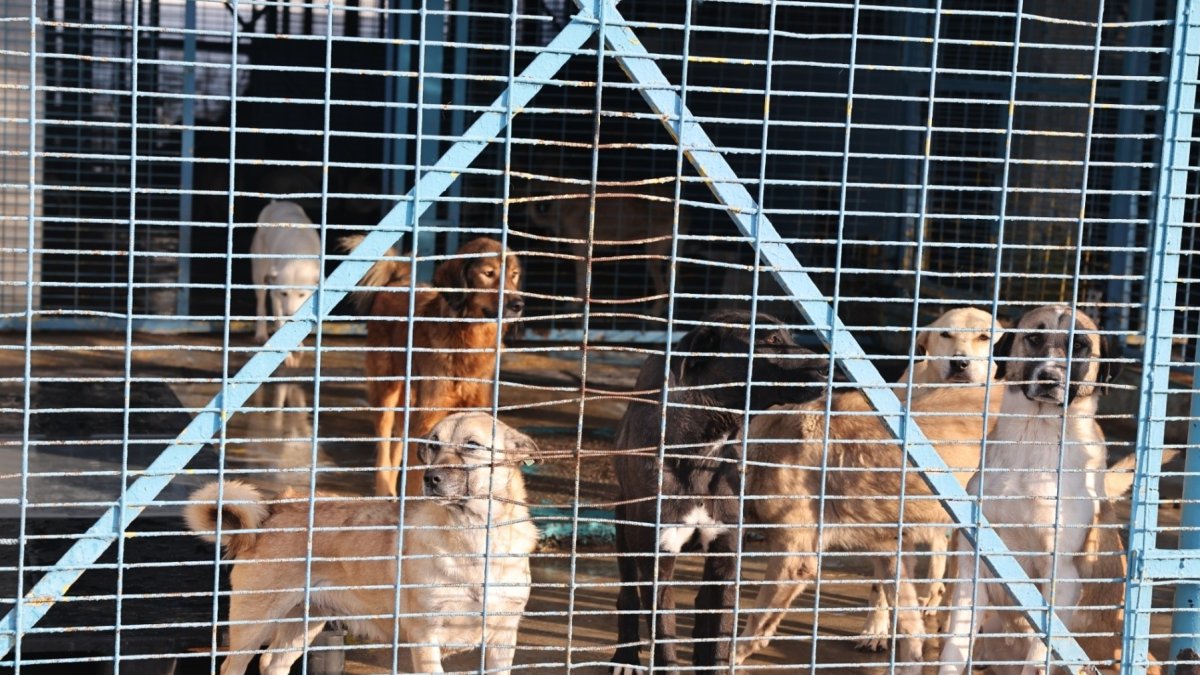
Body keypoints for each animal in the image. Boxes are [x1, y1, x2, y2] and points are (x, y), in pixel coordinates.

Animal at [183, 410, 540, 672]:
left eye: (472, 445)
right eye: (434, 445)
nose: (430, 479)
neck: (475, 537)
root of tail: (275, 508)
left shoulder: (502, 640)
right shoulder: (425, 638)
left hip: (305, 623)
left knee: (272, 663)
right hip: (253, 624)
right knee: (233, 666)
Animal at [250, 199, 321, 367]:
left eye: (302, 295)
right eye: (284, 293)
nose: (290, 315)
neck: (297, 253)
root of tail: (278, 203)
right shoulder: (276, 297)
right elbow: (280, 324)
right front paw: (288, 357)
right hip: (259, 274)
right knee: (261, 304)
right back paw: (261, 333)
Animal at [340, 235, 523, 494]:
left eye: (514, 275)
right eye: (489, 273)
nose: (519, 304)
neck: (466, 340)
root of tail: (398, 280)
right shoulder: (429, 416)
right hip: (385, 390)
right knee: (384, 443)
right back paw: (384, 489)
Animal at [523, 181, 691, 312]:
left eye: (546, 194)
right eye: (536, 193)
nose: (540, 208)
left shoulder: (581, 251)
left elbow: (581, 280)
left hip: (652, 256)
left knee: (663, 287)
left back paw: (655, 312)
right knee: (675, 284)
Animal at [609, 309, 835, 667]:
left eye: (790, 337)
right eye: (771, 340)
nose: (830, 365)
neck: (703, 450)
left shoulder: (726, 561)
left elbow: (717, 642)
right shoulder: (658, 565)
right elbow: (665, 644)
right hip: (625, 527)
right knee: (627, 594)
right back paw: (625, 658)